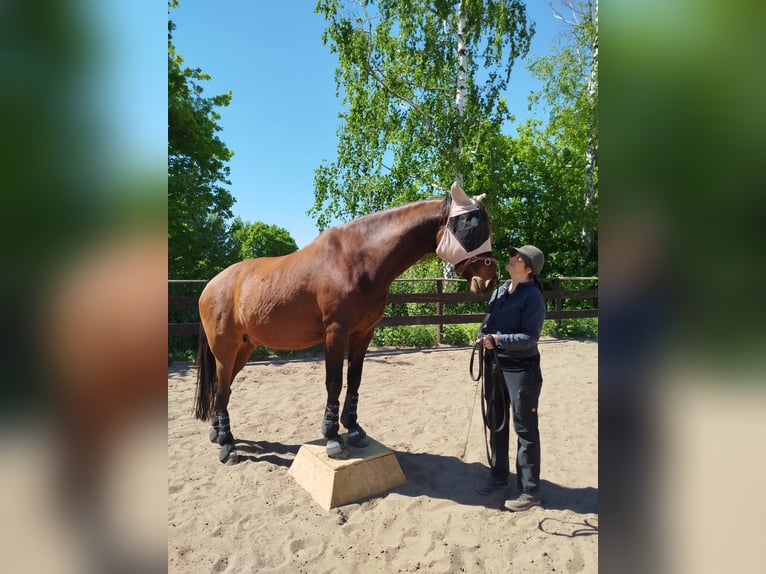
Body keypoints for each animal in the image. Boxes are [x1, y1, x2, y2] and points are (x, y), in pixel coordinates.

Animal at [194, 182, 499, 464]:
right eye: (473, 228)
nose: (489, 280)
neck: (358, 259)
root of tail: (211, 286)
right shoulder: (335, 333)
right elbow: (334, 382)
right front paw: (332, 438)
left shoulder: (363, 334)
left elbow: (354, 379)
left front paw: (353, 430)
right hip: (225, 349)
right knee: (222, 386)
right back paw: (227, 444)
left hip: (243, 349)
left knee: (224, 388)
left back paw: (217, 433)